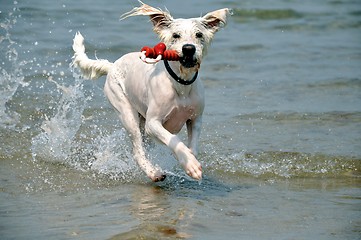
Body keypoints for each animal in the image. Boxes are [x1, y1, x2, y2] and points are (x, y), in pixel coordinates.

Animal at [71, 2, 229, 182]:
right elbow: (173, 139)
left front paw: (191, 160)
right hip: (126, 112)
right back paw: (153, 173)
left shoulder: (195, 119)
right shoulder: (153, 123)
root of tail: (112, 66)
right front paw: (190, 165)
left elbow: (193, 146)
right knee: (137, 150)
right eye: (175, 35)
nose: (189, 49)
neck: (180, 84)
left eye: (199, 34)